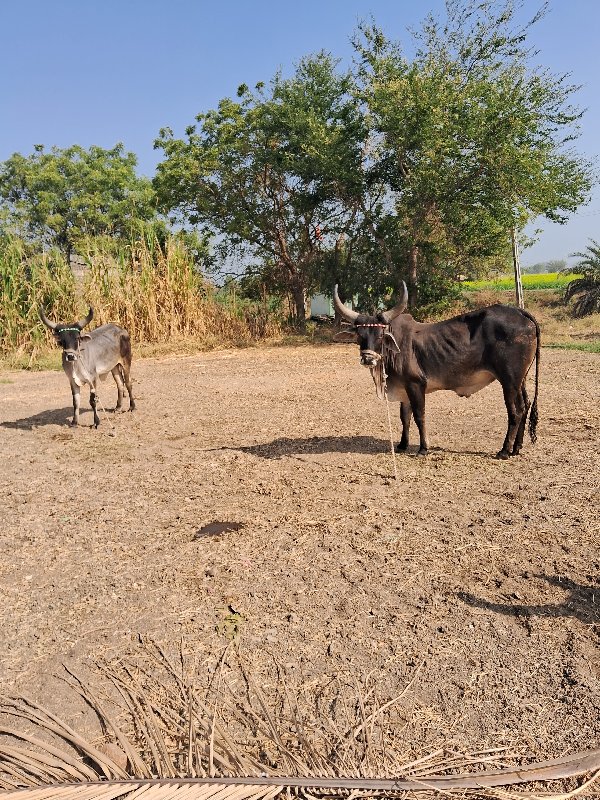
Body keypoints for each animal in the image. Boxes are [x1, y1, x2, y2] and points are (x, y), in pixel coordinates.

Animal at [336, 284, 540, 460]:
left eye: (380, 336)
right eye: (359, 336)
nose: (368, 359)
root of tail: (519, 312)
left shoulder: (416, 384)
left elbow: (419, 415)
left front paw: (423, 448)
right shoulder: (404, 388)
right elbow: (404, 417)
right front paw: (402, 445)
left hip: (509, 380)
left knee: (515, 411)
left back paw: (504, 451)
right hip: (521, 379)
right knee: (525, 405)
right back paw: (516, 448)